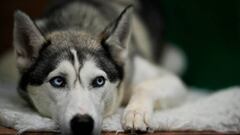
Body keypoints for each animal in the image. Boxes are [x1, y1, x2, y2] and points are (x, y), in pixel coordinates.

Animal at [10, 0, 187, 134]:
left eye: (99, 81)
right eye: (58, 81)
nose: (82, 123)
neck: (76, 25)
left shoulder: (167, 78)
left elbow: (144, 86)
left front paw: (136, 113)